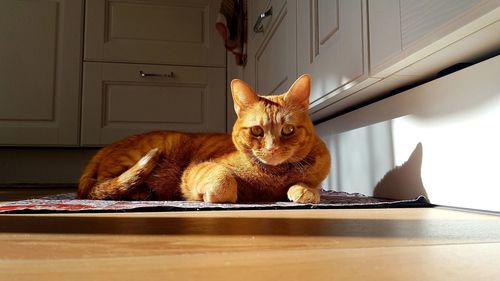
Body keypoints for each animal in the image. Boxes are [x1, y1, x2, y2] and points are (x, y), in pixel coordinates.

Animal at [76, 74, 330, 201]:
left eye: (287, 130)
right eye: (257, 131)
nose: (272, 149)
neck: (273, 176)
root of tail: (104, 148)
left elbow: (312, 186)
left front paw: (306, 191)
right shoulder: (199, 169)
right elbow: (225, 180)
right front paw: (218, 195)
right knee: (101, 186)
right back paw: (139, 192)